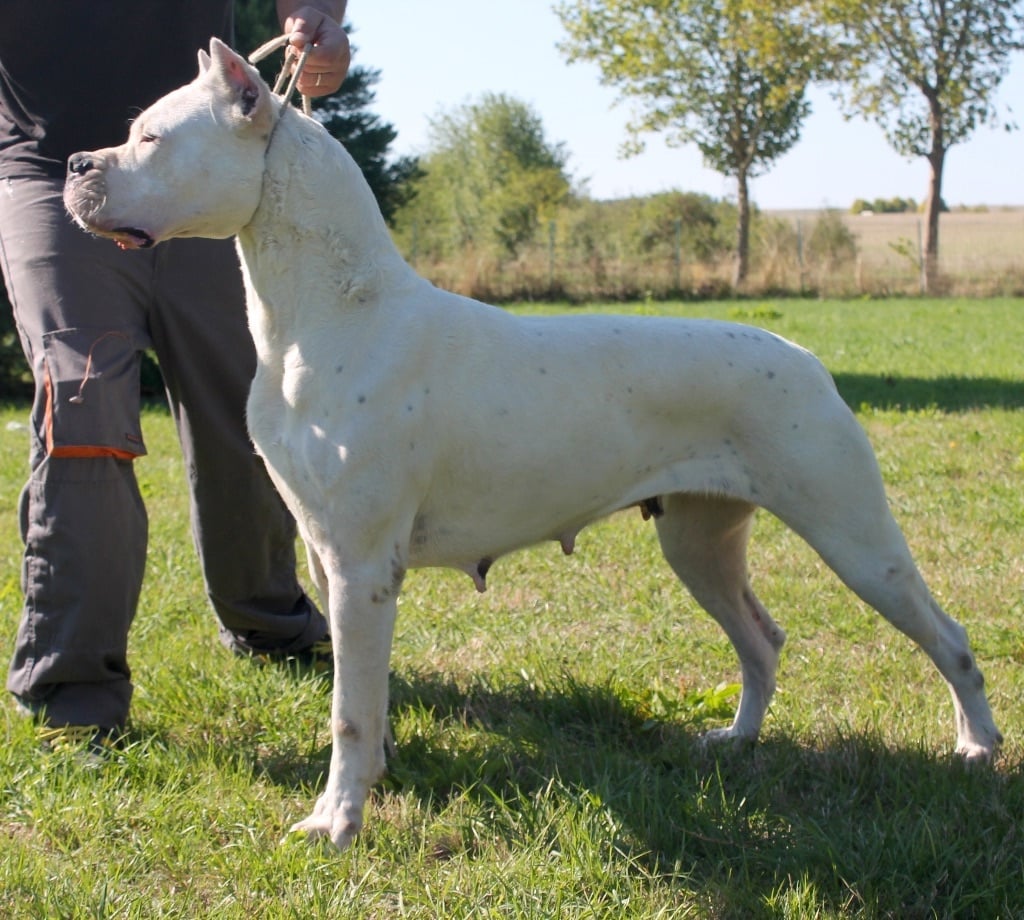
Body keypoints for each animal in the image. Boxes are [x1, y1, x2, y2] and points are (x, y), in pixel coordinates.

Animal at [61, 41, 999, 844]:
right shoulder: (333, 564)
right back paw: (735, 742)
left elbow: (348, 711)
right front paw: (374, 778)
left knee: (948, 636)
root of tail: (802, 354)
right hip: (700, 542)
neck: (329, 310)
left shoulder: (362, 566)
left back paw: (978, 748)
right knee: (761, 641)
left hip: (854, 538)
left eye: (151, 136)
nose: (74, 166)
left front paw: (336, 822)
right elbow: (363, 694)